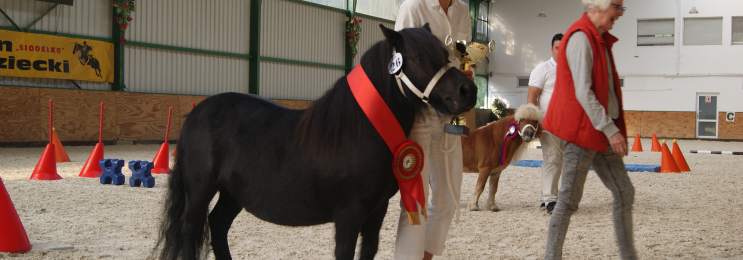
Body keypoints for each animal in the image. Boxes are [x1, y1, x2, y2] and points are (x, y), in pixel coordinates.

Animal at [158, 24, 476, 260]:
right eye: (418, 57)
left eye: (446, 54)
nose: (468, 91)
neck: (359, 129)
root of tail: (195, 112)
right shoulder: (349, 214)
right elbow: (345, 253)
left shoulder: (376, 212)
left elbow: (368, 250)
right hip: (200, 190)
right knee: (190, 229)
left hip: (231, 193)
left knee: (218, 225)